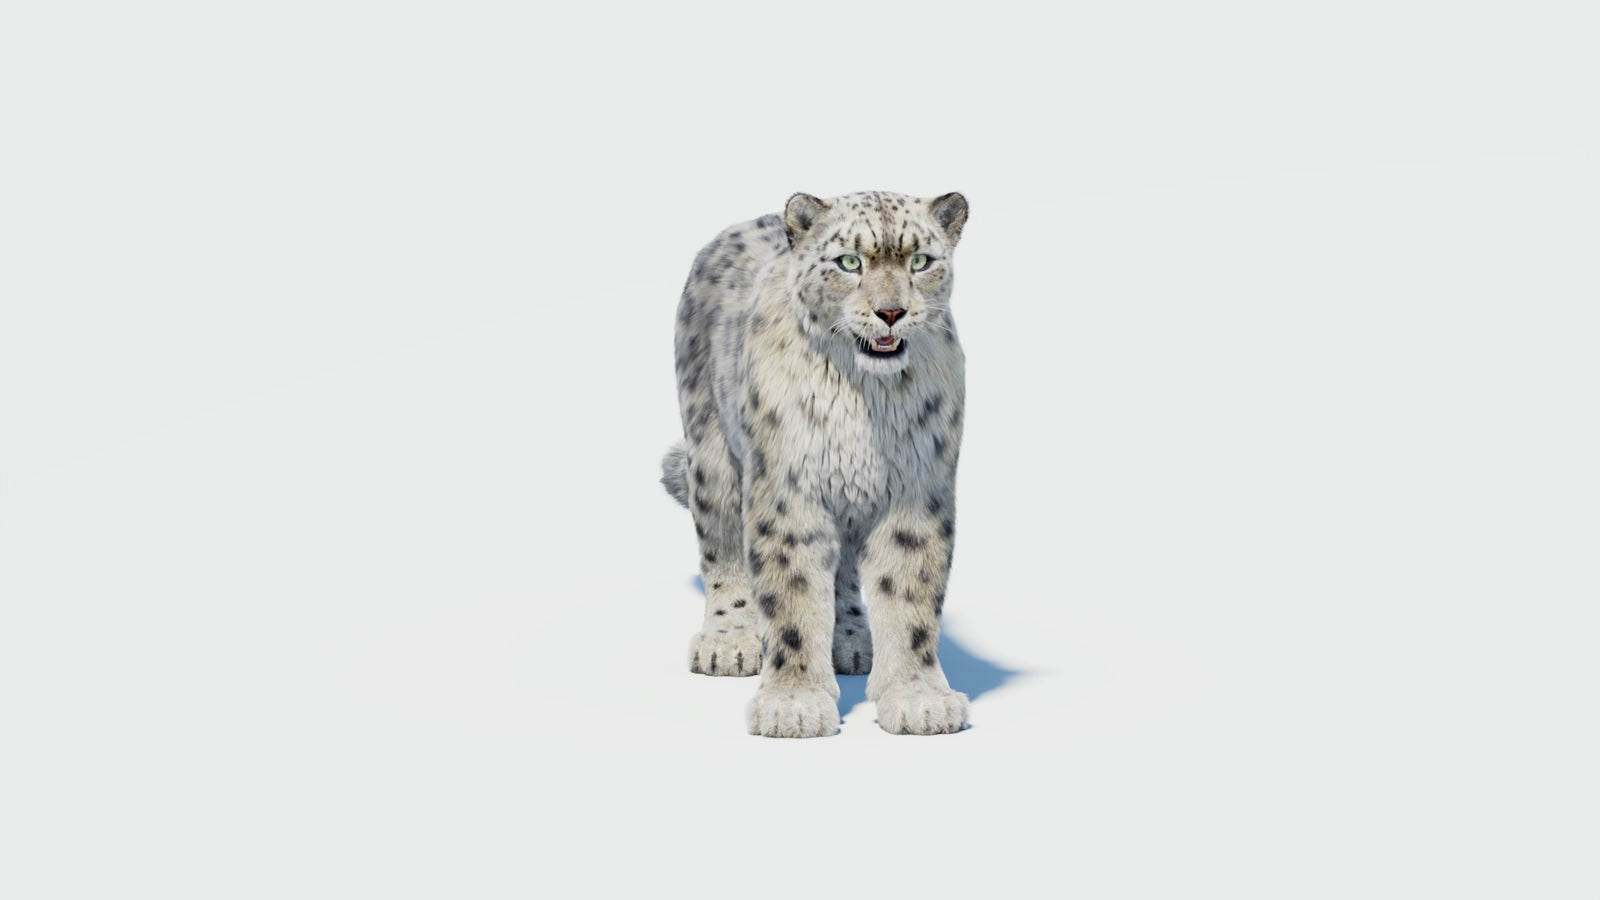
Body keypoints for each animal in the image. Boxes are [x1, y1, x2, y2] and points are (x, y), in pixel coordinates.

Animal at [662, 190, 971, 738]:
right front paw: (794, 704)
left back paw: (851, 639)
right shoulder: (791, 490)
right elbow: (792, 595)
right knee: (721, 546)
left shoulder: (917, 489)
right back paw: (729, 640)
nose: (891, 312)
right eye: (849, 262)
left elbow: (910, 594)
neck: (865, 399)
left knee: (844, 566)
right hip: (711, 453)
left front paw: (919, 699)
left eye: (920, 261)